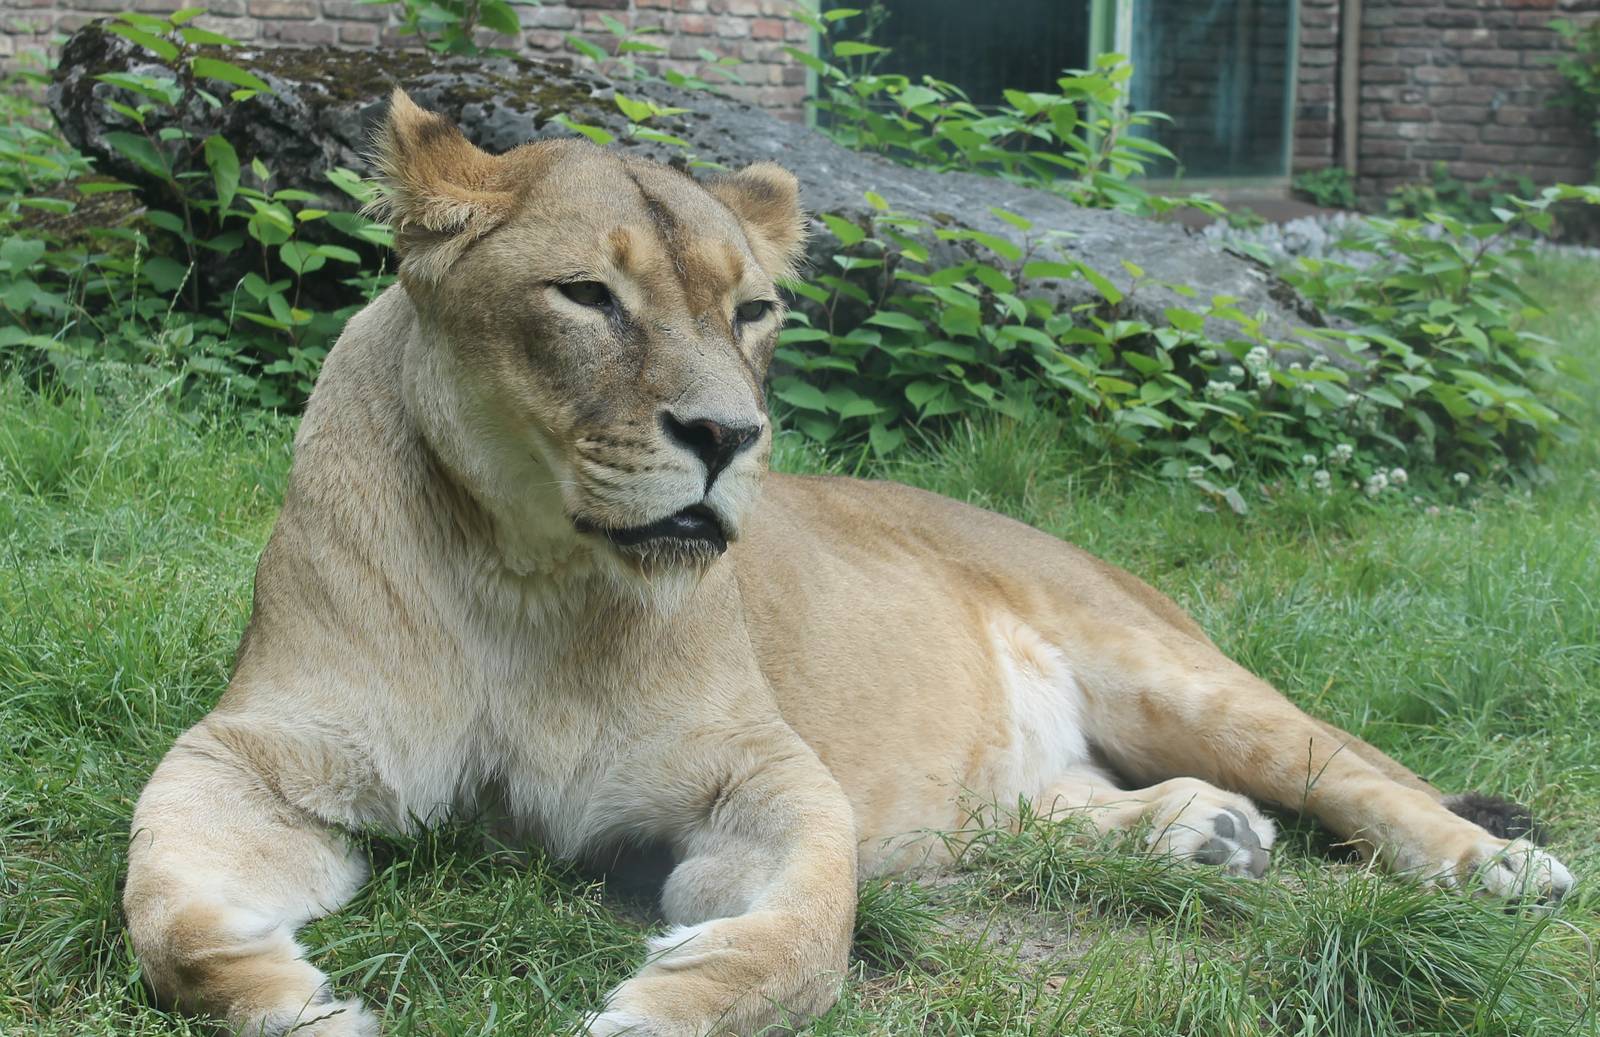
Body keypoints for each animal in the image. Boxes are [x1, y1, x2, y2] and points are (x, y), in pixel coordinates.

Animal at [123, 90, 1572, 1037]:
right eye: (587, 296)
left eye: (753, 309)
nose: (728, 436)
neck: (525, 577)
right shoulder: (259, 747)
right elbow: (165, 906)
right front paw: (284, 993)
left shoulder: (764, 770)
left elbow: (808, 927)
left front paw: (662, 1007)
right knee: (1046, 802)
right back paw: (1197, 828)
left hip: (1171, 668)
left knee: (1364, 775)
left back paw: (1492, 868)